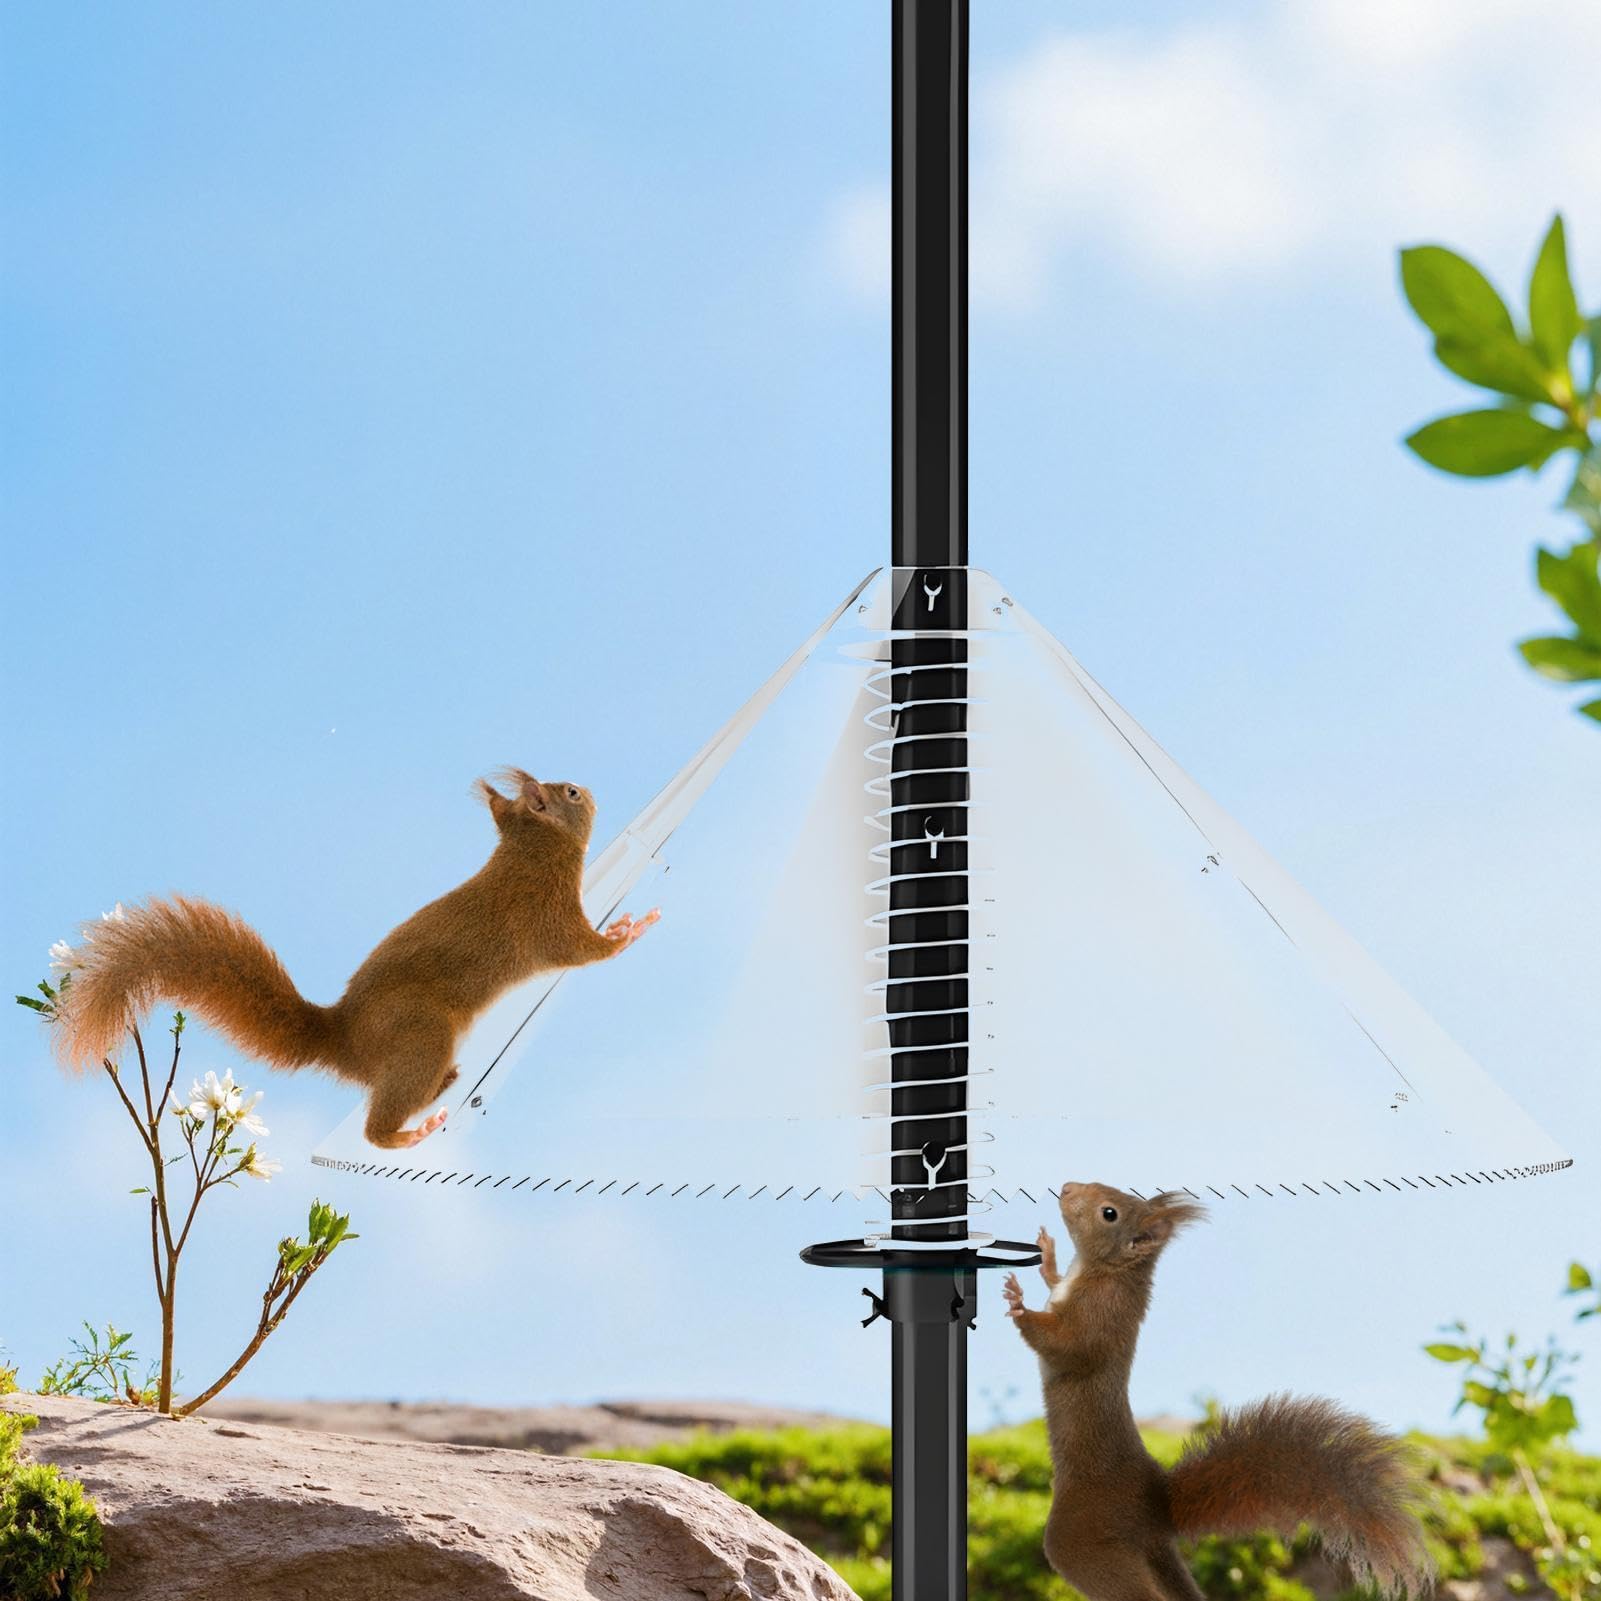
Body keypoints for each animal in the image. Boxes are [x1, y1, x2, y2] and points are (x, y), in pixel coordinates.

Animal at [51, 768, 660, 1149]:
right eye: (571, 793)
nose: (590, 789)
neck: (528, 853)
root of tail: (342, 1039)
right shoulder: (545, 917)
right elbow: (582, 950)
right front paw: (630, 931)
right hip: (422, 1036)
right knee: (378, 1123)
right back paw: (410, 1131)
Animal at [1003, 1182, 1430, 1601]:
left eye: (1110, 1212)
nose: (1066, 1188)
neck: (1104, 1270)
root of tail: (1157, 1508)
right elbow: (1054, 1284)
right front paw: (1046, 1254)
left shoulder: (1100, 1317)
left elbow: (1066, 1347)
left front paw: (1019, 1305)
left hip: (1082, 1541)